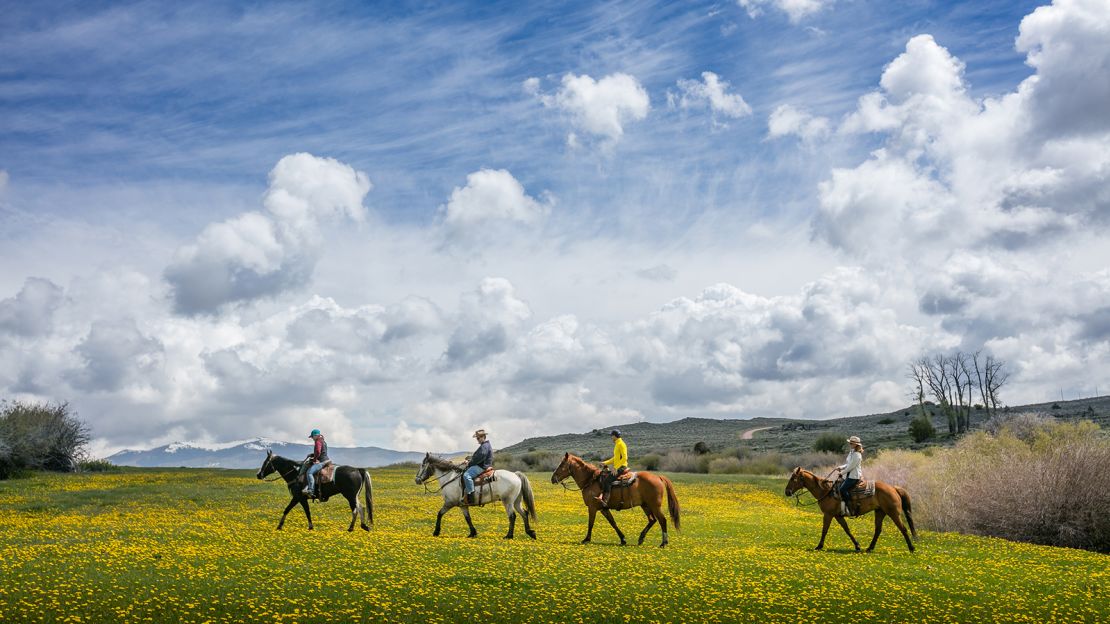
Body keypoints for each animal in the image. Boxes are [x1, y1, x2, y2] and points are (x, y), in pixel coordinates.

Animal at [785, 464, 914, 550]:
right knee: (878, 530)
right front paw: (857, 546)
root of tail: (893, 488)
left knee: (903, 528)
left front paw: (819, 546)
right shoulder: (838, 516)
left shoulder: (828, 514)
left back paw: (911, 548)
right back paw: (869, 548)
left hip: (893, 513)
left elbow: (824, 530)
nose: (787, 492)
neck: (826, 491)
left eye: (793, 478)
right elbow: (847, 529)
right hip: (880, 512)